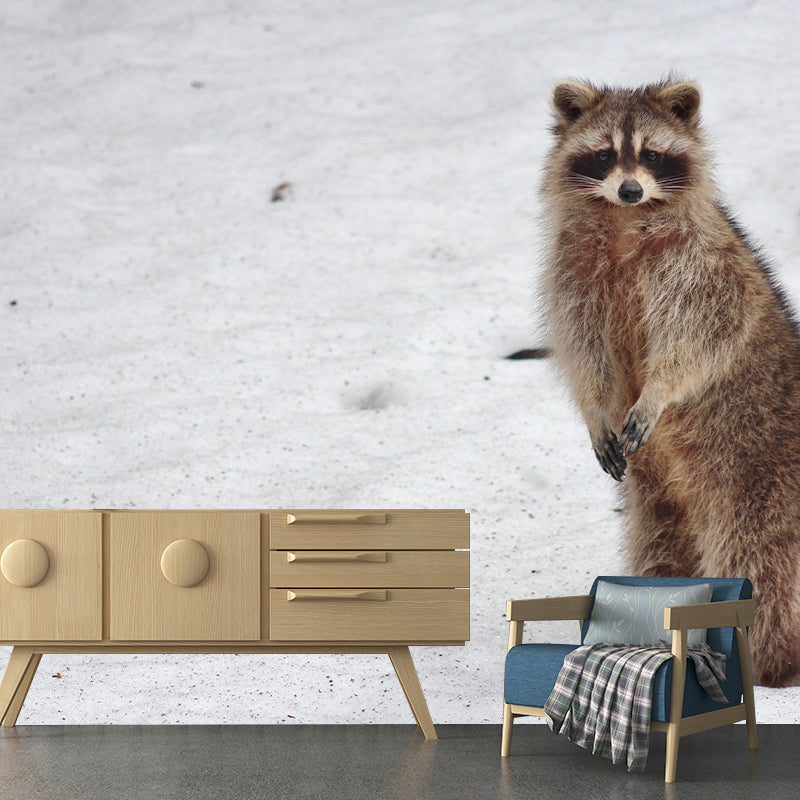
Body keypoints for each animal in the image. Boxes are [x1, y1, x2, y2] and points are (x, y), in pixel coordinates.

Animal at [540, 78, 800, 687]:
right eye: (606, 154)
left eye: (652, 154)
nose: (631, 189)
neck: (621, 220)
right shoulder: (572, 274)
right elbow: (583, 350)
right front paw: (596, 407)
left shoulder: (703, 266)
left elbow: (701, 339)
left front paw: (658, 391)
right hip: (658, 493)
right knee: (660, 546)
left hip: (758, 470)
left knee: (762, 561)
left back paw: (766, 663)